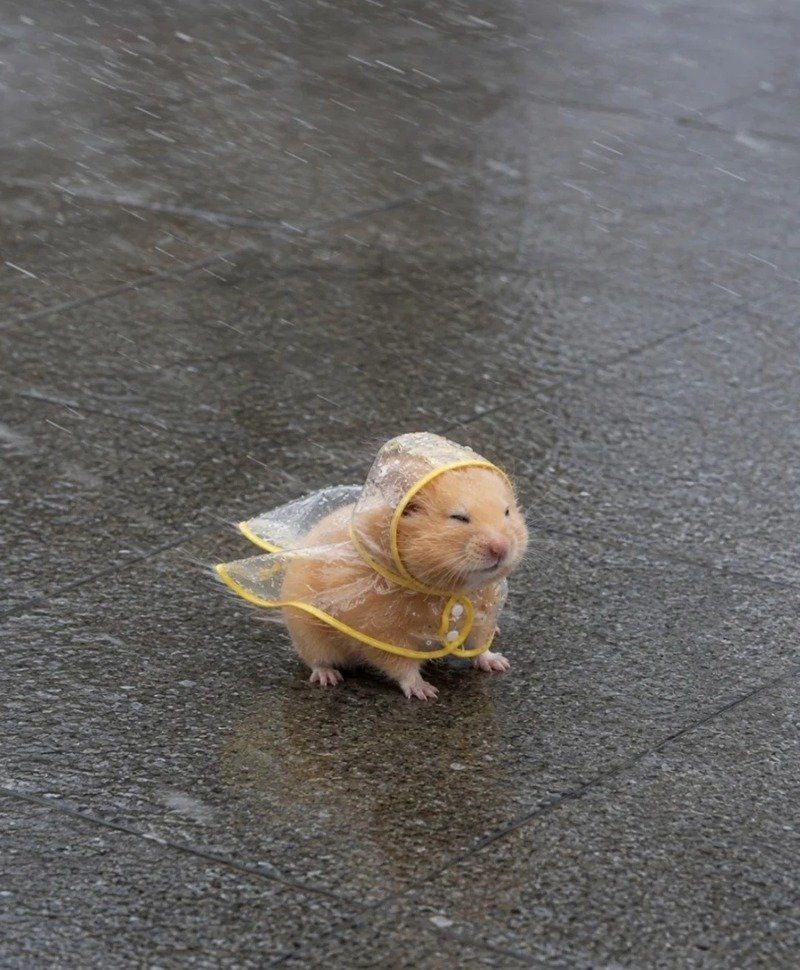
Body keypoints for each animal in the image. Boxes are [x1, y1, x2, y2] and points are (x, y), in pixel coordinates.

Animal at [280, 465, 528, 699]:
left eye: (507, 511)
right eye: (459, 518)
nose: (501, 549)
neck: (451, 589)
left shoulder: (481, 614)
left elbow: (479, 645)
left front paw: (500, 663)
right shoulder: (382, 633)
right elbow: (402, 666)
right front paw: (426, 692)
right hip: (307, 633)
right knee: (315, 658)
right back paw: (328, 677)